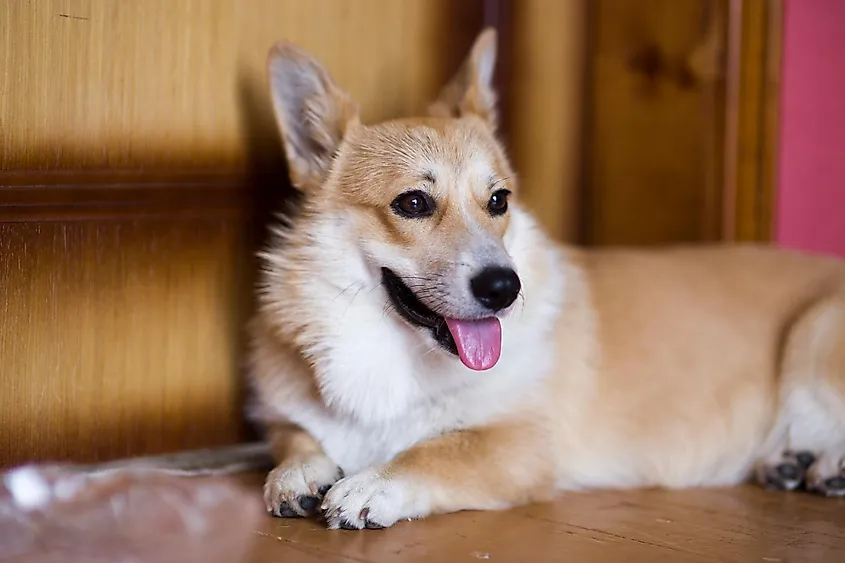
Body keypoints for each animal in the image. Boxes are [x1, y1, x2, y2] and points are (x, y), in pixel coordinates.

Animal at [247, 27, 844, 528]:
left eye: (498, 200)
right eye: (412, 202)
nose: (504, 288)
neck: (394, 355)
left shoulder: (521, 444)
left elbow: (438, 451)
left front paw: (374, 483)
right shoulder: (288, 421)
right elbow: (295, 441)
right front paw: (296, 475)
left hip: (815, 334)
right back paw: (791, 462)